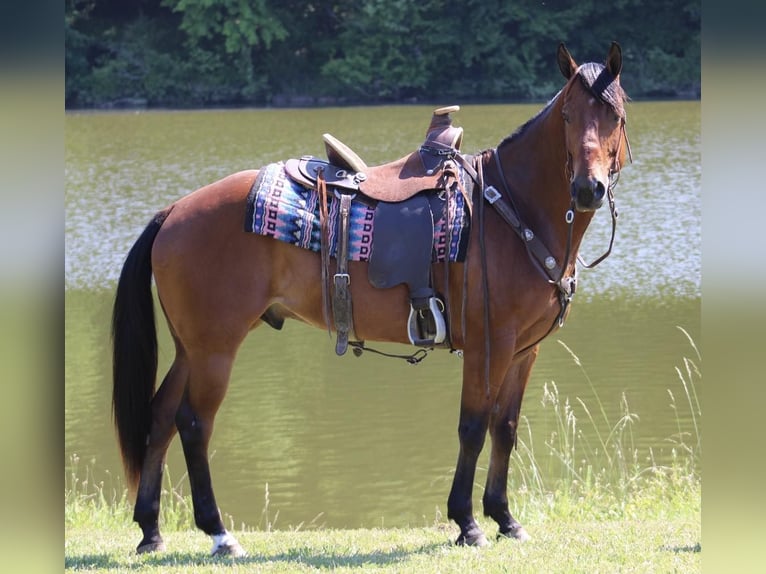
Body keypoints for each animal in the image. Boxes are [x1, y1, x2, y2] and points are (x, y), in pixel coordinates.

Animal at [112, 42, 631, 556]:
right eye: (567, 115)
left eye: (615, 115)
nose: (588, 188)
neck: (511, 208)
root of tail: (174, 211)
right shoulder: (490, 345)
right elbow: (473, 428)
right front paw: (467, 522)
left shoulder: (524, 350)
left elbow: (504, 429)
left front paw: (505, 518)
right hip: (215, 349)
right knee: (194, 424)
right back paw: (219, 533)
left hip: (191, 348)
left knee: (161, 418)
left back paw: (151, 530)